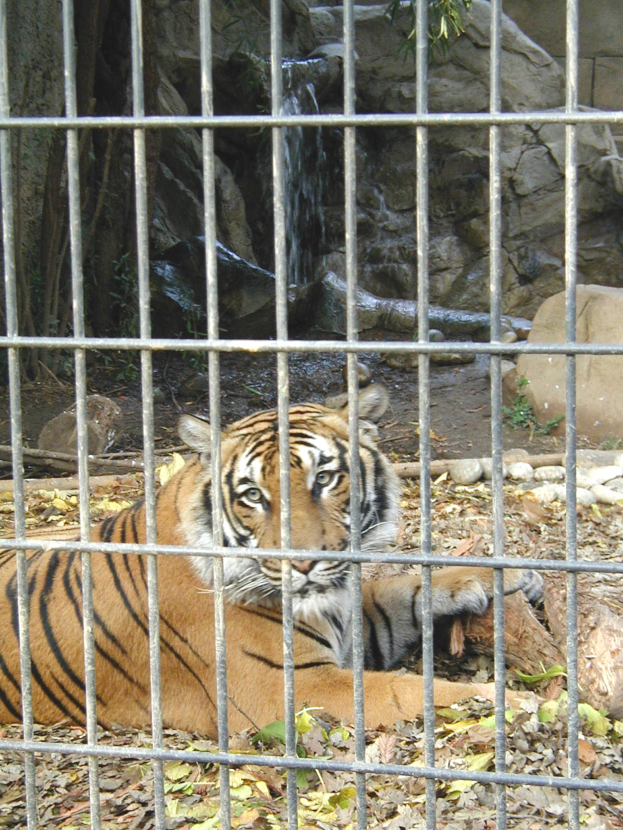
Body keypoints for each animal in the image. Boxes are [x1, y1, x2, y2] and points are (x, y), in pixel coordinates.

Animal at [0, 384, 542, 735]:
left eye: (324, 478)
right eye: (253, 496)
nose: (301, 562)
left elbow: (403, 587)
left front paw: (511, 575)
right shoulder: (291, 684)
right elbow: (417, 692)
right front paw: (528, 701)